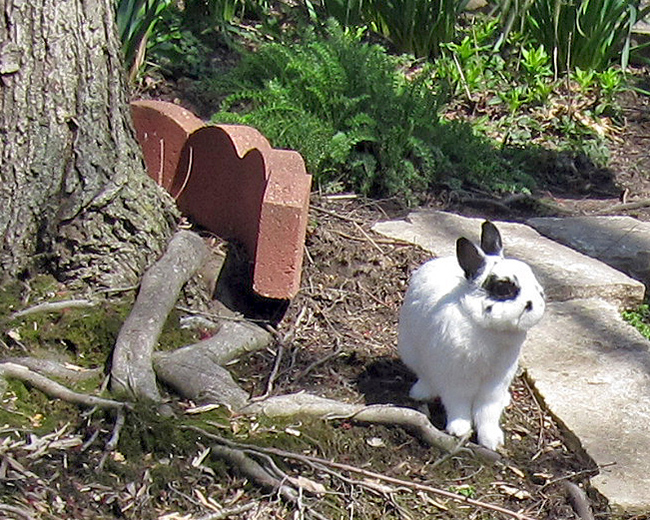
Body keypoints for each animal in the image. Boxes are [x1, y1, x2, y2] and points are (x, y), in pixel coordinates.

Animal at [398, 219, 544, 450]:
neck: (489, 329)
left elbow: (487, 412)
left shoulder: (495, 383)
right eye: (503, 288)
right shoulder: (455, 379)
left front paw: (491, 440)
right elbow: (458, 405)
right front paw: (458, 429)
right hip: (411, 353)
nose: (537, 303)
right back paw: (420, 392)